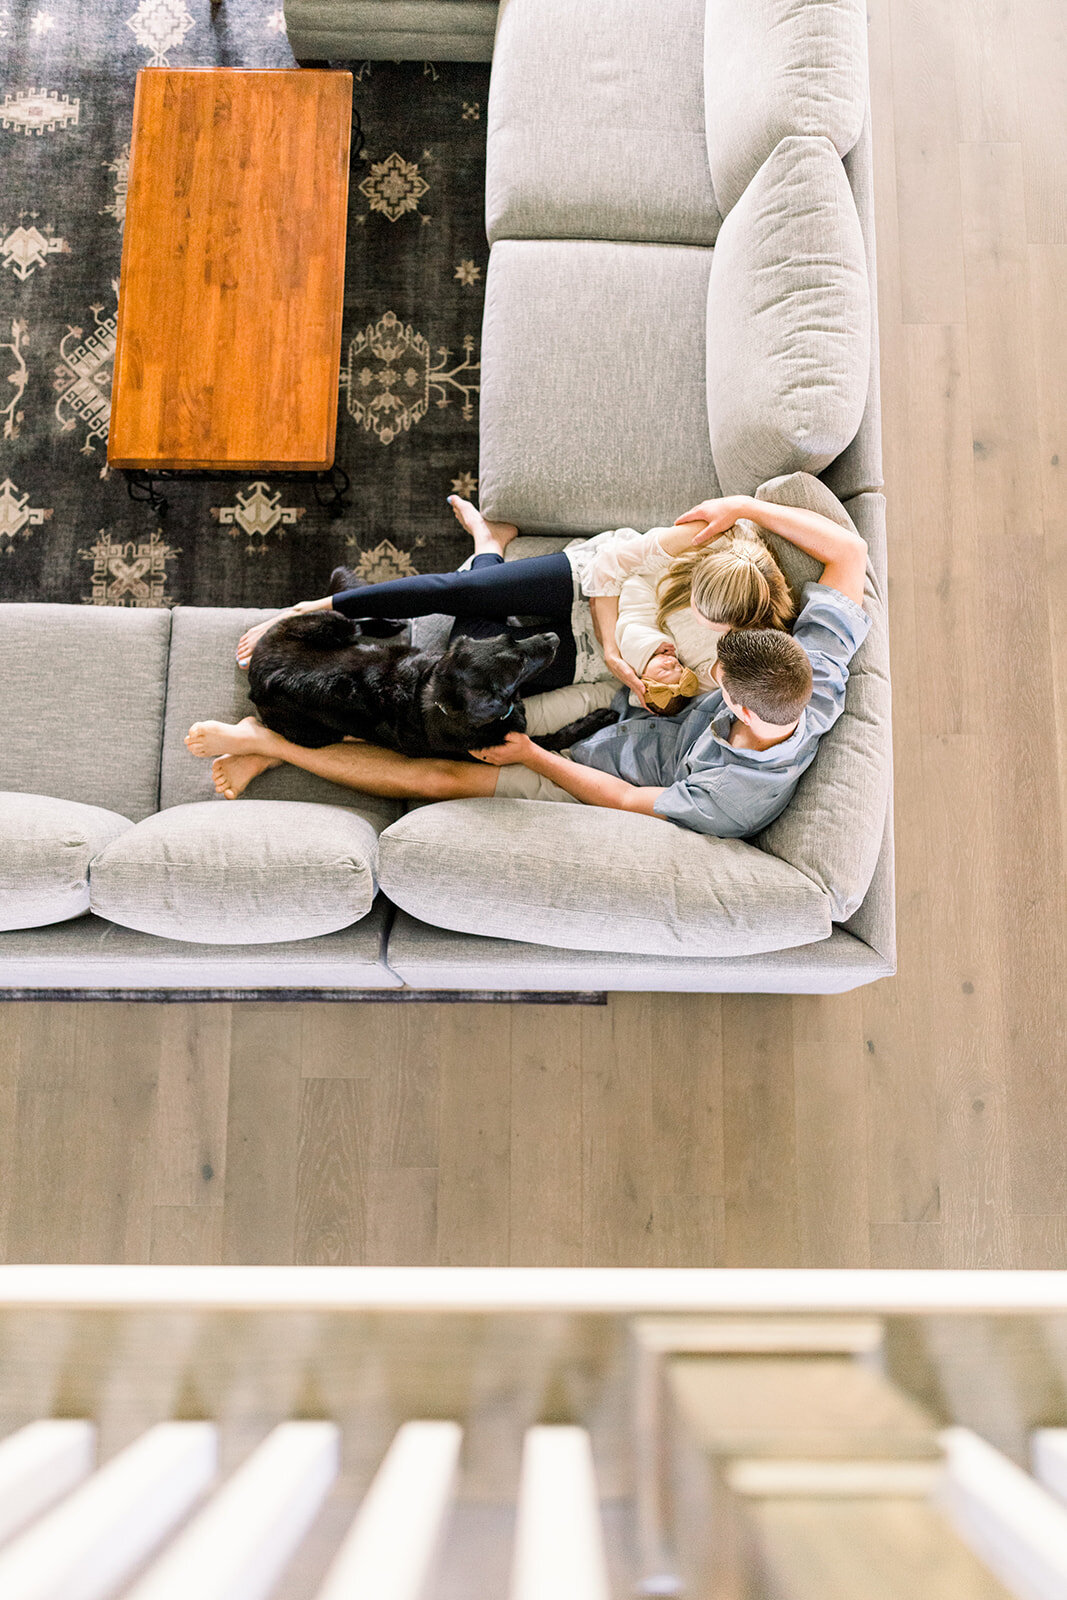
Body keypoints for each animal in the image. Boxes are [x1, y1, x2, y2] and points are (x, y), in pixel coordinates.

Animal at [247, 611, 617, 761]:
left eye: (510, 639)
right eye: (520, 664)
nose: (554, 637)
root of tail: (255, 672)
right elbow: (556, 737)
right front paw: (598, 719)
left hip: (332, 626)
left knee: (354, 622)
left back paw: (390, 624)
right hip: (315, 735)